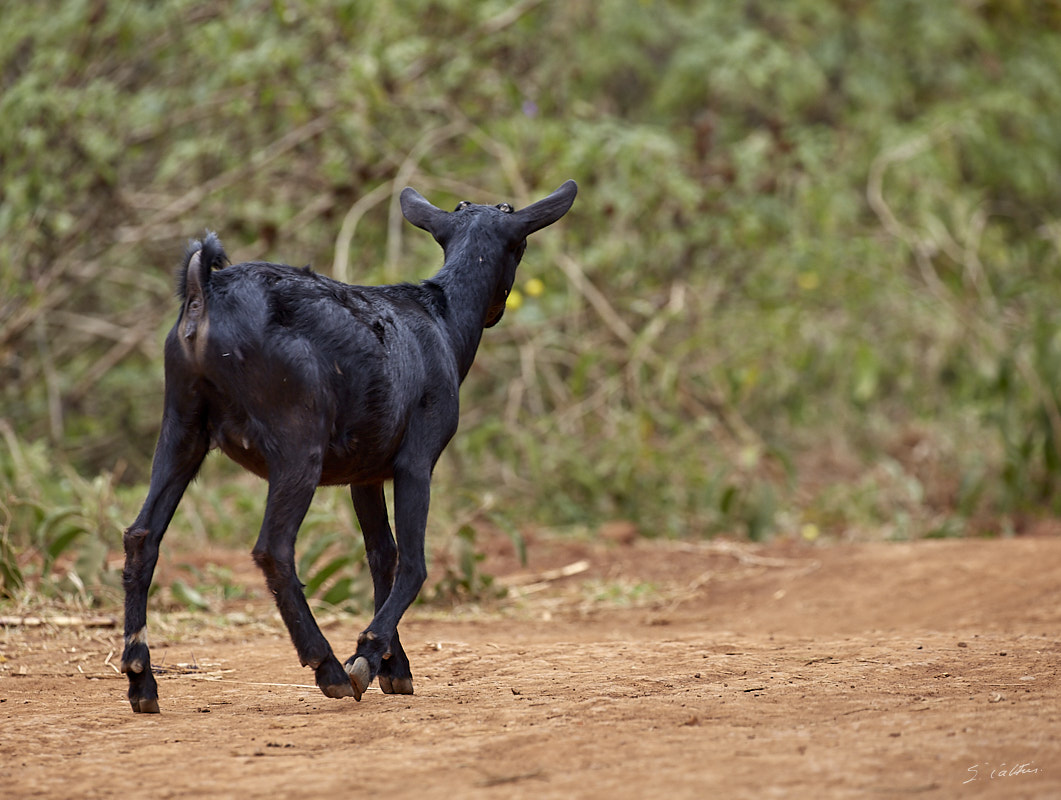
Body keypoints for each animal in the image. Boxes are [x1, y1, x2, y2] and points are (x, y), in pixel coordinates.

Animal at [120, 179, 577, 708]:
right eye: (519, 246)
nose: (497, 312)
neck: (442, 316)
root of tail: (204, 291)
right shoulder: (417, 457)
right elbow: (413, 563)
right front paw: (368, 656)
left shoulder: (367, 472)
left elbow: (382, 557)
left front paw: (395, 669)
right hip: (297, 438)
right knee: (274, 547)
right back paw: (329, 668)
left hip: (181, 423)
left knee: (142, 535)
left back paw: (141, 679)